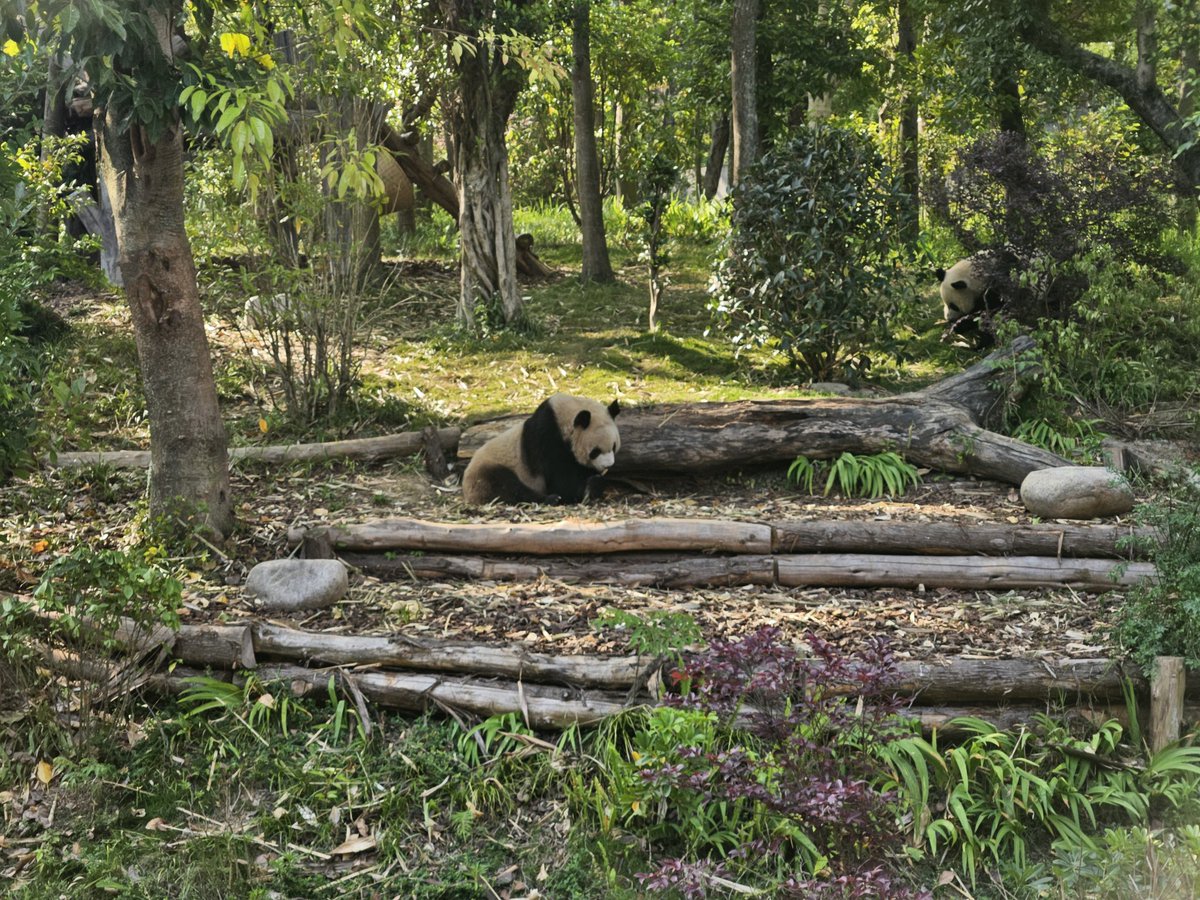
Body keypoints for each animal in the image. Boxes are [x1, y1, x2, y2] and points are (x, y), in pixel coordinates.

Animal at [461, 393, 621, 505]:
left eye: (613, 446)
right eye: (595, 451)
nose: (608, 465)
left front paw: (595, 483)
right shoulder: (548, 439)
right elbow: (562, 483)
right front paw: (588, 489)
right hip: (487, 469)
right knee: (504, 487)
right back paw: (551, 499)